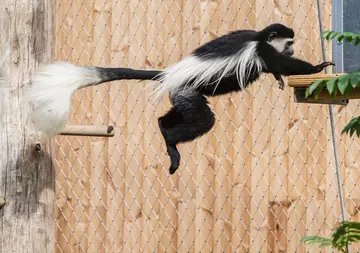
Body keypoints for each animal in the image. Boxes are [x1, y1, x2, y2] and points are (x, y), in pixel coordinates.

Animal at [28, 23, 334, 174]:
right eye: (289, 43)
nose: (292, 49)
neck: (260, 38)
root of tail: (169, 74)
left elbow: (277, 68)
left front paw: (280, 78)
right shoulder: (262, 51)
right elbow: (282, 64)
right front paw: (317, 68)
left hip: (181, 97)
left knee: (168, 117)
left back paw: (164, 131)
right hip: (187, 92)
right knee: (202, 120)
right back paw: (172, 143)